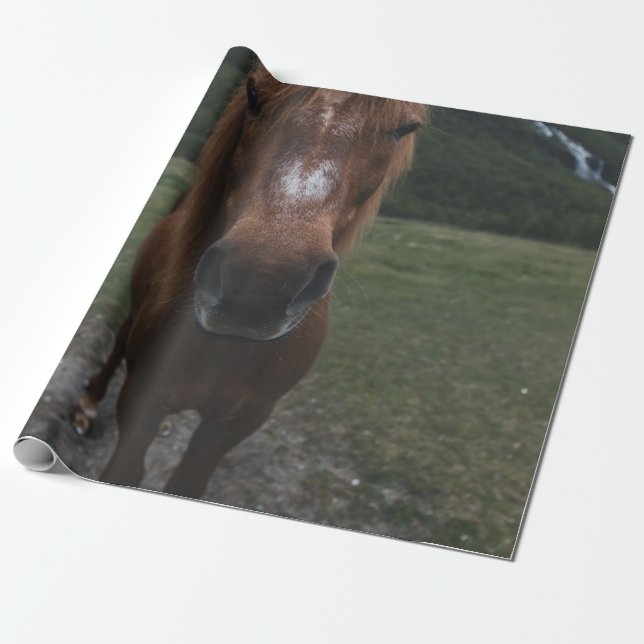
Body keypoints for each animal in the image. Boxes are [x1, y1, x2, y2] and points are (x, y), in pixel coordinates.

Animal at [73, 64, 427, 499]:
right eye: (254, 94)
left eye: (405, 128)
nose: (261, 281)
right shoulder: (141, 398)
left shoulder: (237, 422)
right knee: (118, 342)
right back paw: (88, 406)